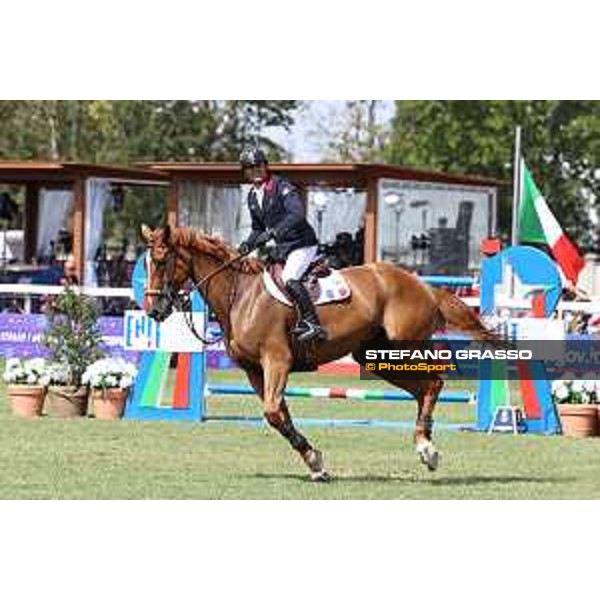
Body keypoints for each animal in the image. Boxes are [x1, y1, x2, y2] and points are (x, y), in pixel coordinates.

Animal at [141, 225, 496, 482]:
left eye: (159, 261)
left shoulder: (277, 361)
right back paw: (426, 447)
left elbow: (273, 413)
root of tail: (422, 285)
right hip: (375, 356)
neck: (239, 295)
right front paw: (315, 463)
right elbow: (280, 416)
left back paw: (426, 448)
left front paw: (314, 460)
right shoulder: (255, 371)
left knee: (434, 382)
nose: (153, 310)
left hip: (404, 346)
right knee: (423, 389)